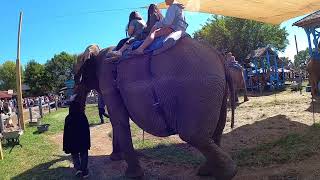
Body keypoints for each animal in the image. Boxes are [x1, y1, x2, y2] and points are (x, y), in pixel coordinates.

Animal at [72, 37, 238, 179]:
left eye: (76, 75)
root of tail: (219, 56)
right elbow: (116, 121)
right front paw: (116, 159)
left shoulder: (108, 81)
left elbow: (119, 121)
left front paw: (132, 175)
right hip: (216, 89)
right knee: (215, 132)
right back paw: (208, 171)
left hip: (198, 88)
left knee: (192, 135)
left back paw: (227, 173)